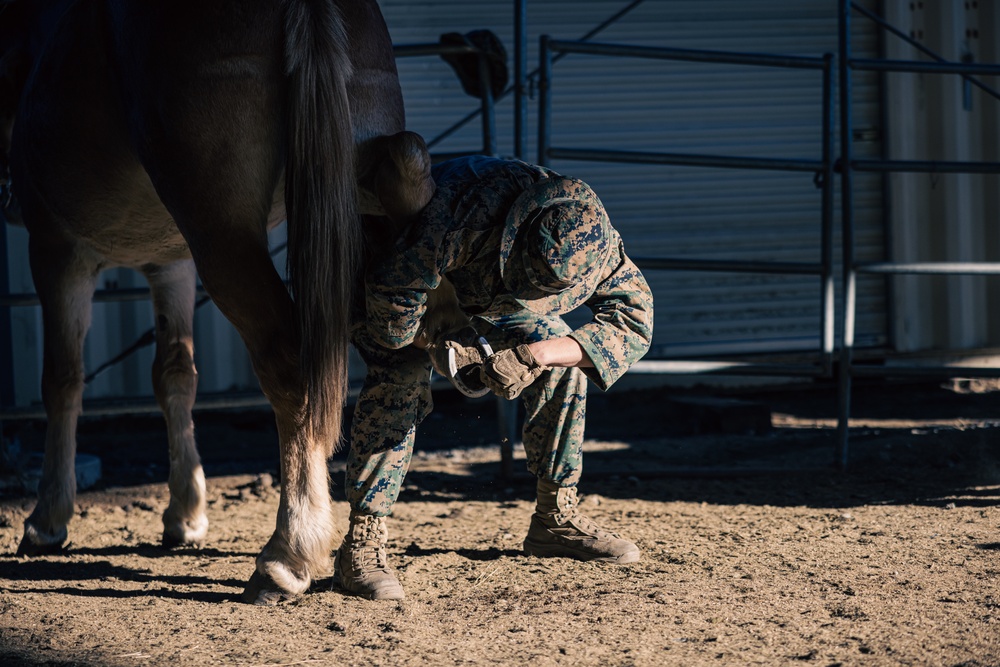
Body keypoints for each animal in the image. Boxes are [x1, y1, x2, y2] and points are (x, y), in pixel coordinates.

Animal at [0, 0, 438, 604]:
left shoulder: (58, 251)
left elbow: (62, 381)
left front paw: (47, 518)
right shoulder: (171, 265)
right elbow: (175, 376)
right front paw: (185, 514)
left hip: (221, 235)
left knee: (290, 365)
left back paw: (287, 553)